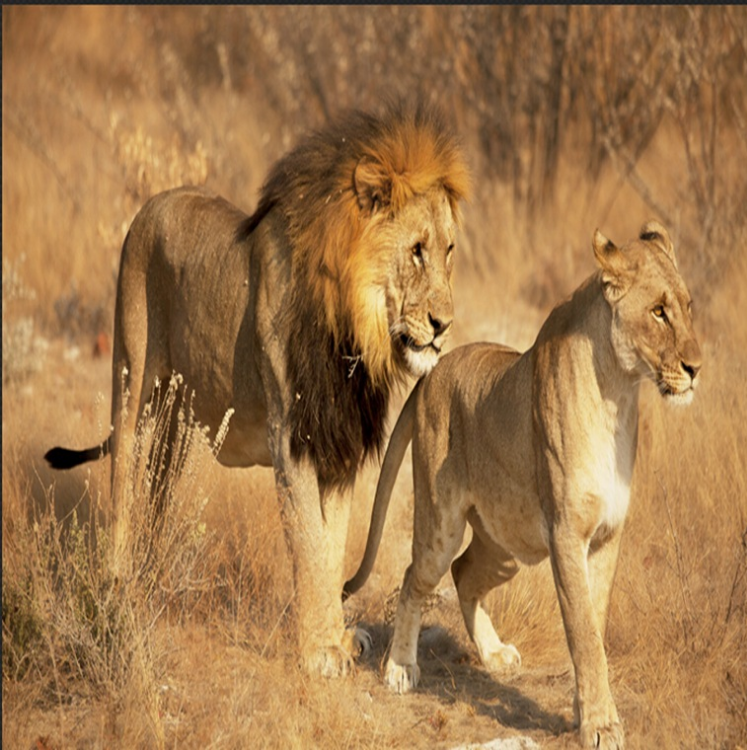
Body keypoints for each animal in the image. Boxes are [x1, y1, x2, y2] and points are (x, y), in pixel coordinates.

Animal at [44, 103, 470, 677]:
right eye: (416, 251)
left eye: (448, 251)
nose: (444, 326)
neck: (355, 333)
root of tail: (155, 200)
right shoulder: (292, 440)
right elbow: (308, 542)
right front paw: (319, 652)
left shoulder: (337, 447)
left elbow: (332, 544)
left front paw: (338, 637)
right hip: (130, 380)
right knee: (123, 488)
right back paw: (116, 587)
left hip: (176, 422)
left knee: (156, 492)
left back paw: (150, 576)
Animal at [343, 222, 702, 747]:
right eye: (658, 311)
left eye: (688, 306)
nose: (697, 368)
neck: (618, 394)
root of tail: (432, 374)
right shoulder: (567, 534)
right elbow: (583, 634)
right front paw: (600, 723)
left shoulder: (608, 536)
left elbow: (594, 627)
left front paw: (585, 711)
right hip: (441, 524)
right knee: (415, 578)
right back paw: (400, 668)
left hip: (508, 544)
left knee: (464, 574)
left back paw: (492, 655)